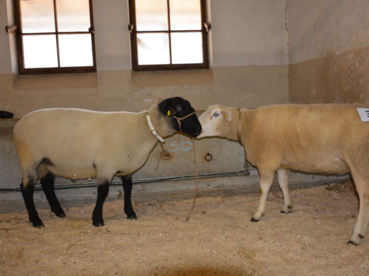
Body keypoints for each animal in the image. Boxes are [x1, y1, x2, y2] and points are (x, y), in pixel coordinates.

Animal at [13, 97, 201, 229]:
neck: (144, 128)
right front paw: (97, 219)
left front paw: (130, 213)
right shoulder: (105, 166)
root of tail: (17, 125)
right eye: (180, 109)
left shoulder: (126, 166)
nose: (199, 130)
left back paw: (58, 211)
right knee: (26, 188)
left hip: (47, 162)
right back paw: (36, 220)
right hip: (30, 159)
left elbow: (128, 189)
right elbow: (103, 192)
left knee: (46, 184)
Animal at [197, 104, 368, 246]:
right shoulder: (281, 162)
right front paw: (287, 206)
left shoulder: (267, 162)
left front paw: (258, 213)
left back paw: (356, 235)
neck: (246, 124)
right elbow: (283, 183)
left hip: (359, 162)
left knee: (364, 196)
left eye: (216, 114)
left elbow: (263, 189)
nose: (195, 127)